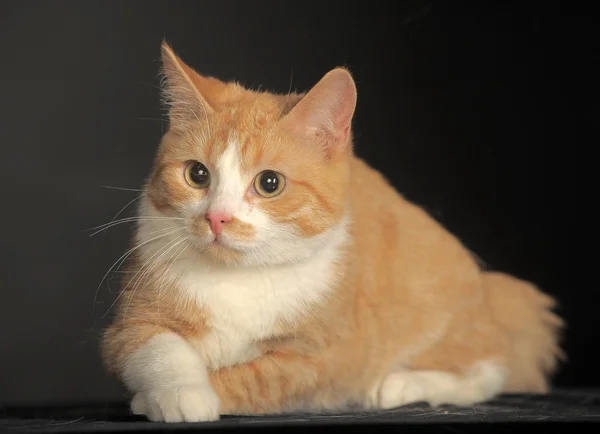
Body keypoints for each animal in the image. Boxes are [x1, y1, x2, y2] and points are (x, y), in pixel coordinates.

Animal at [98, 42, 564, 422]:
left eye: (269, 183)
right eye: (197, 175)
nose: (217, 218)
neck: (237, 278)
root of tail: (489, 295)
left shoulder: (324, 361)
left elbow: (255, 378)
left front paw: (190, 396)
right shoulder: (130, 323)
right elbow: (158, 348)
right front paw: (180, 391)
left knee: (488, 367)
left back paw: (400, 385)